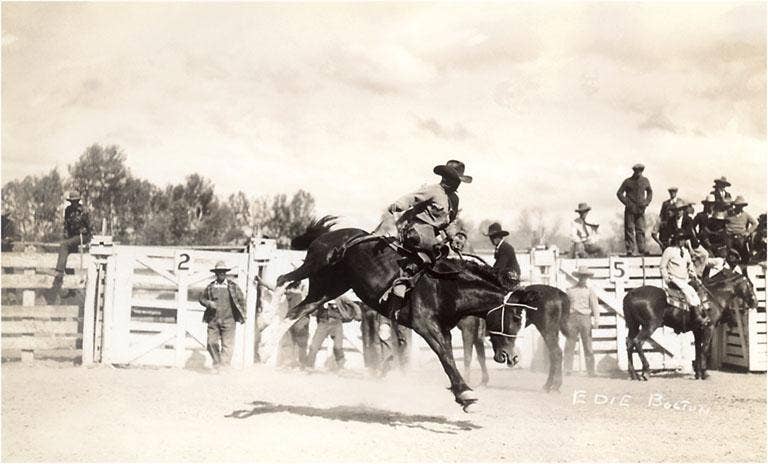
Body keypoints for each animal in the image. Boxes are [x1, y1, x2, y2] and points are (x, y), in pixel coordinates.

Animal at [624, 270, 756, 382]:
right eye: (750, 285)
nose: (755, 302)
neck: (714, 297)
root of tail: (631, 294)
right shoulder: (709, 328)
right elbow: (704, 349)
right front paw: (705, 373)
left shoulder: (697, 330)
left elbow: (697, 349)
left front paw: (698, 373)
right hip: (650, 325)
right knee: (637, 342)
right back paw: (646, 371)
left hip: (633, 325)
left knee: (629, 343)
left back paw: (633, 374)